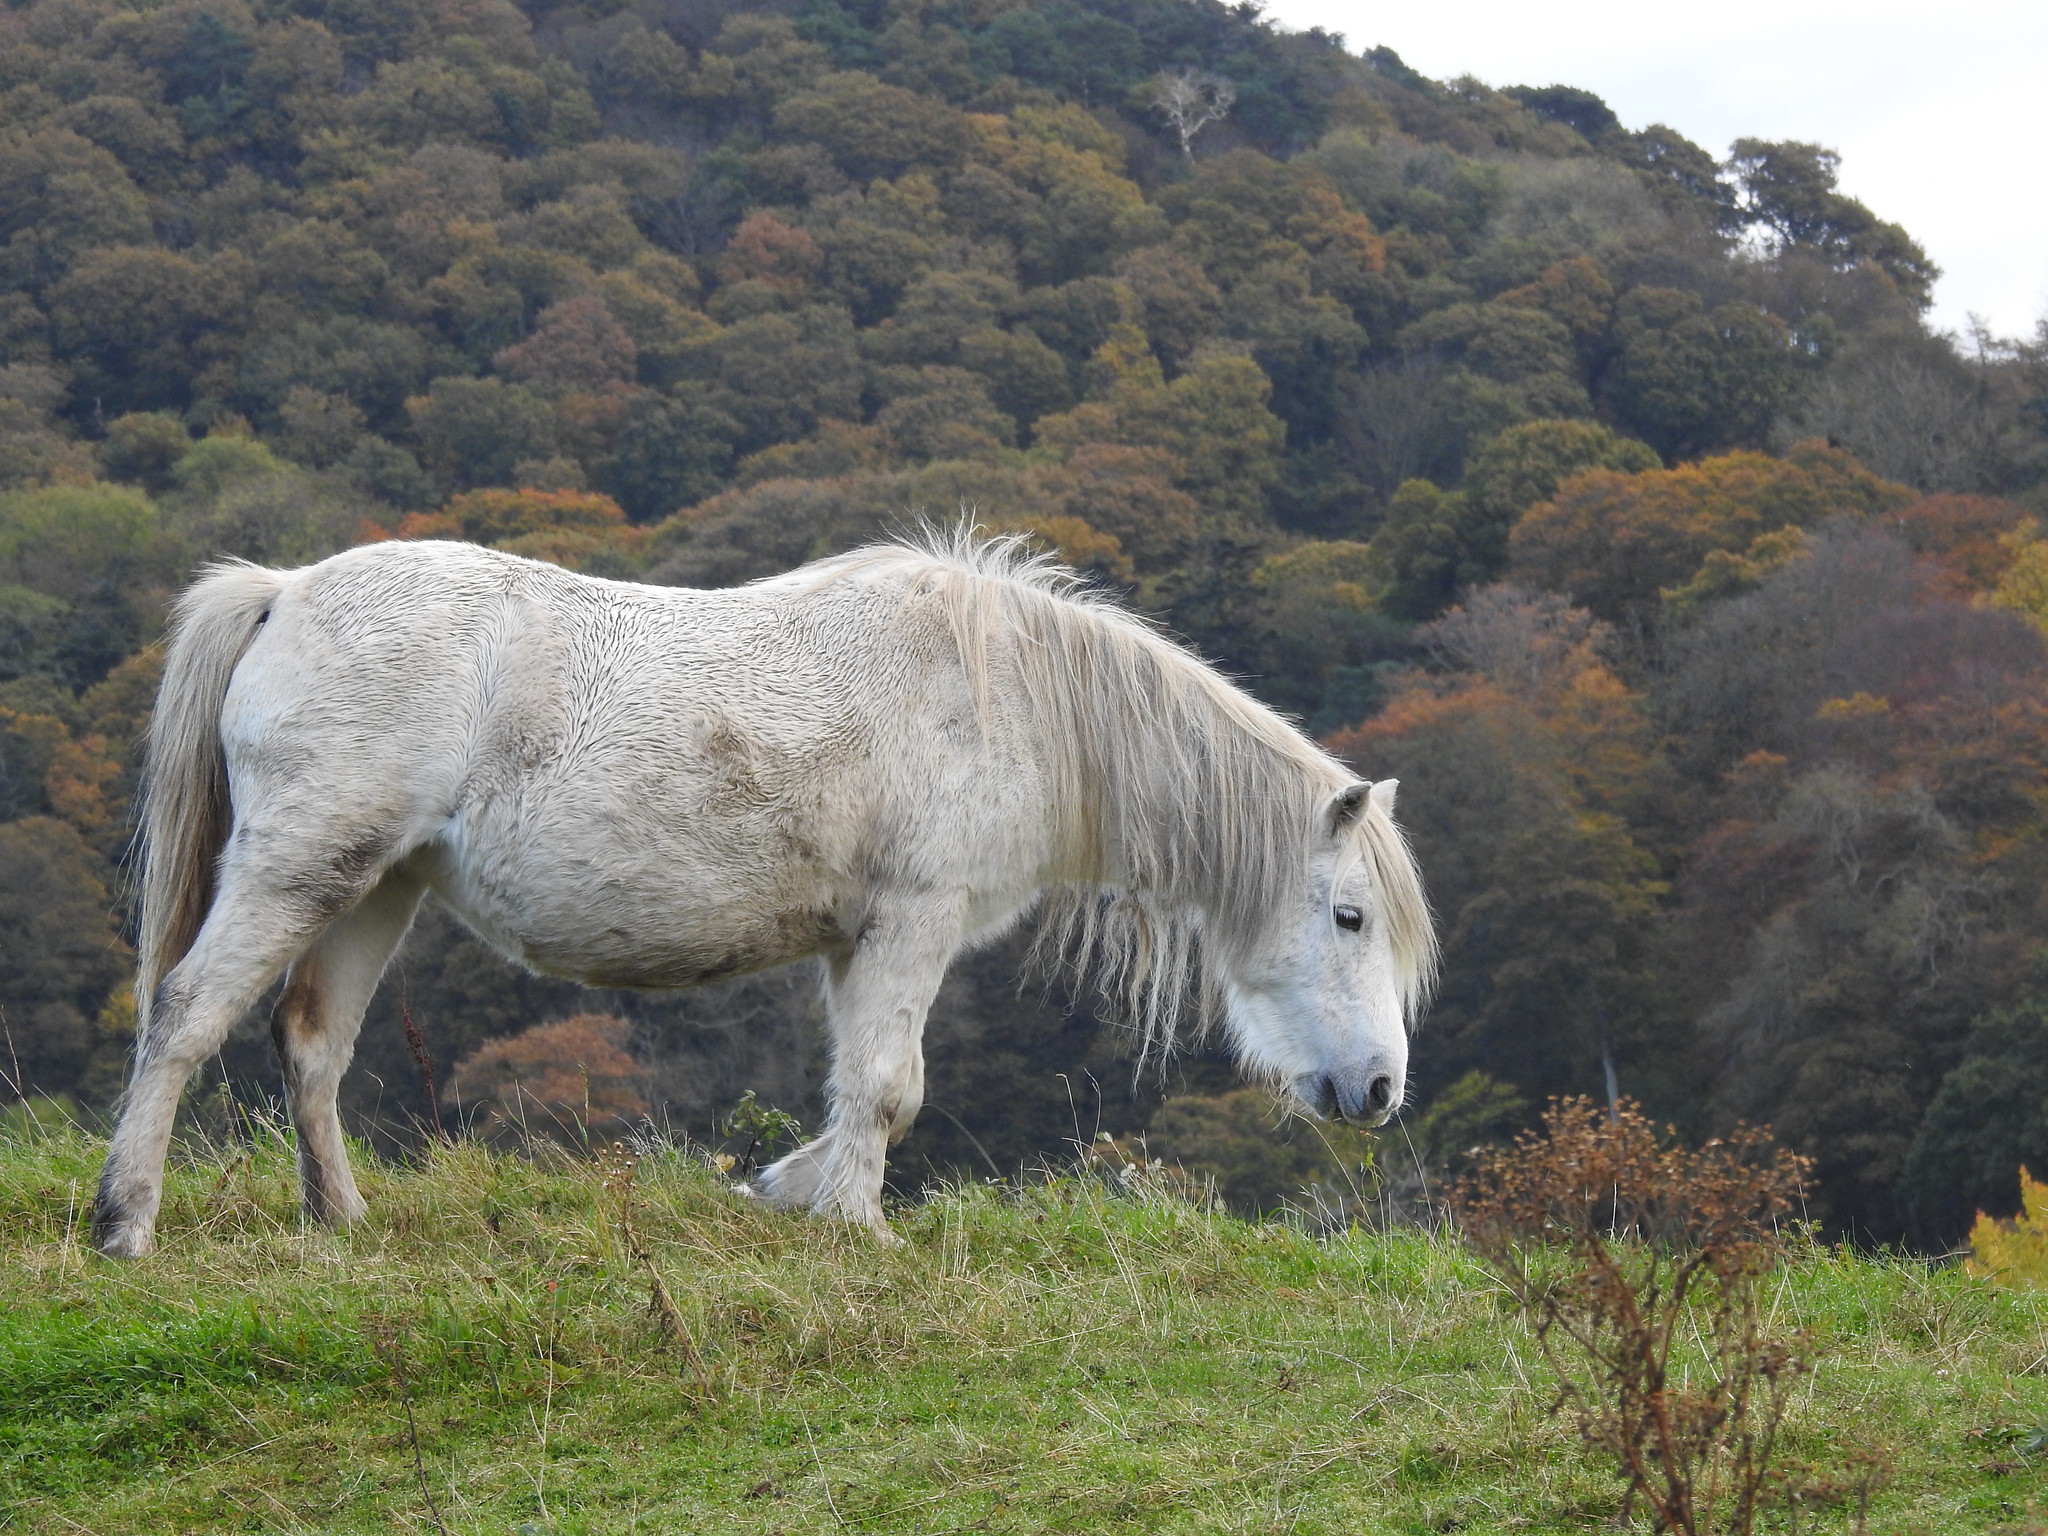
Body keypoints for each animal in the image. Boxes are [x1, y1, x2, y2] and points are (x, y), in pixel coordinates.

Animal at [96, 536, 1433, 1253]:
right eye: (1347, 917)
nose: (1375, 1093)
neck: (1002, 696)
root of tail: (283, 589)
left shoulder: (858, 942)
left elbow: (863, 1089)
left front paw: (793, 1194)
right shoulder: (913, 921)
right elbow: (890, 1087)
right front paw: (859, 1229)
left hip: (374, 886)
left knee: (312, 1047)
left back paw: (341, 1220)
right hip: (299, 868)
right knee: (186, 1017)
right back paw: (126, 1222)